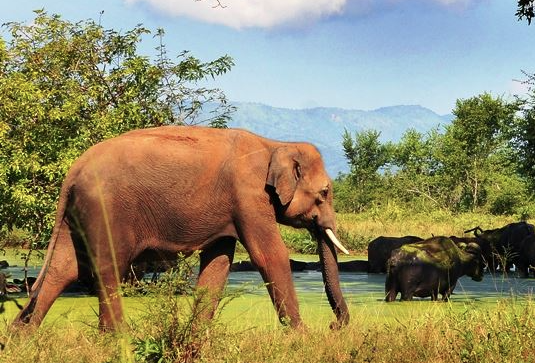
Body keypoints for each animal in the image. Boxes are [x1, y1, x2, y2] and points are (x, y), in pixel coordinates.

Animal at [12, 126, 352, 332]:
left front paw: (198, 334)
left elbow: (218, 265)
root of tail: (72, 171)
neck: (276, 144)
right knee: (108, 267)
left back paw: (23, 334)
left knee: (64, 268)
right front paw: (302, 335)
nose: (333, 326)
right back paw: (116, 336)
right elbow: (270, 255)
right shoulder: (249, 196)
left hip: (77, 214)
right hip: (105, 209)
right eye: (324, 193)